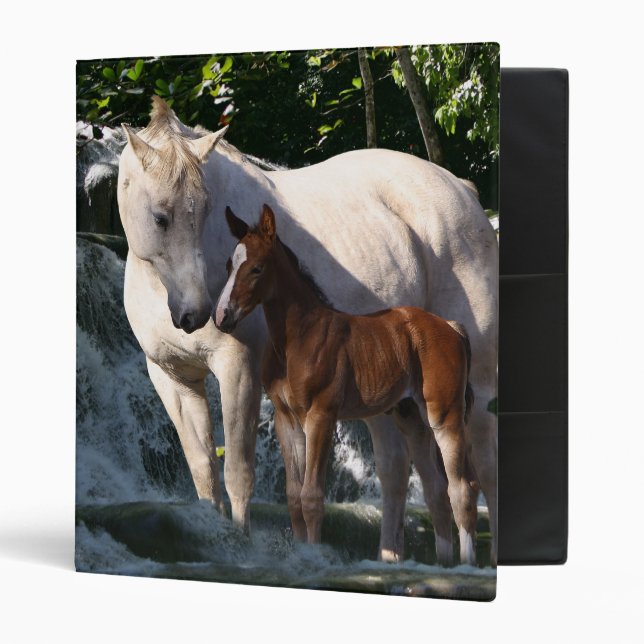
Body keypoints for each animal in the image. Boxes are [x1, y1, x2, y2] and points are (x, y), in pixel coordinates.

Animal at [215, 204, 480, 565]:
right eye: (229, 264)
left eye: (257, 268)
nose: (222, 316)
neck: (297, 339)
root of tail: (451, 327)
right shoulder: (288, 420)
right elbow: (294, 496)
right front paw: (302, 553)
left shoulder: (321, 416)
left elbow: (312, 496)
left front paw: (314, 555)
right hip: (411, 417)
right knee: (436, 491)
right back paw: (443, 564)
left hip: (445, 416)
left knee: (461, 488)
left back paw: (466, 565)